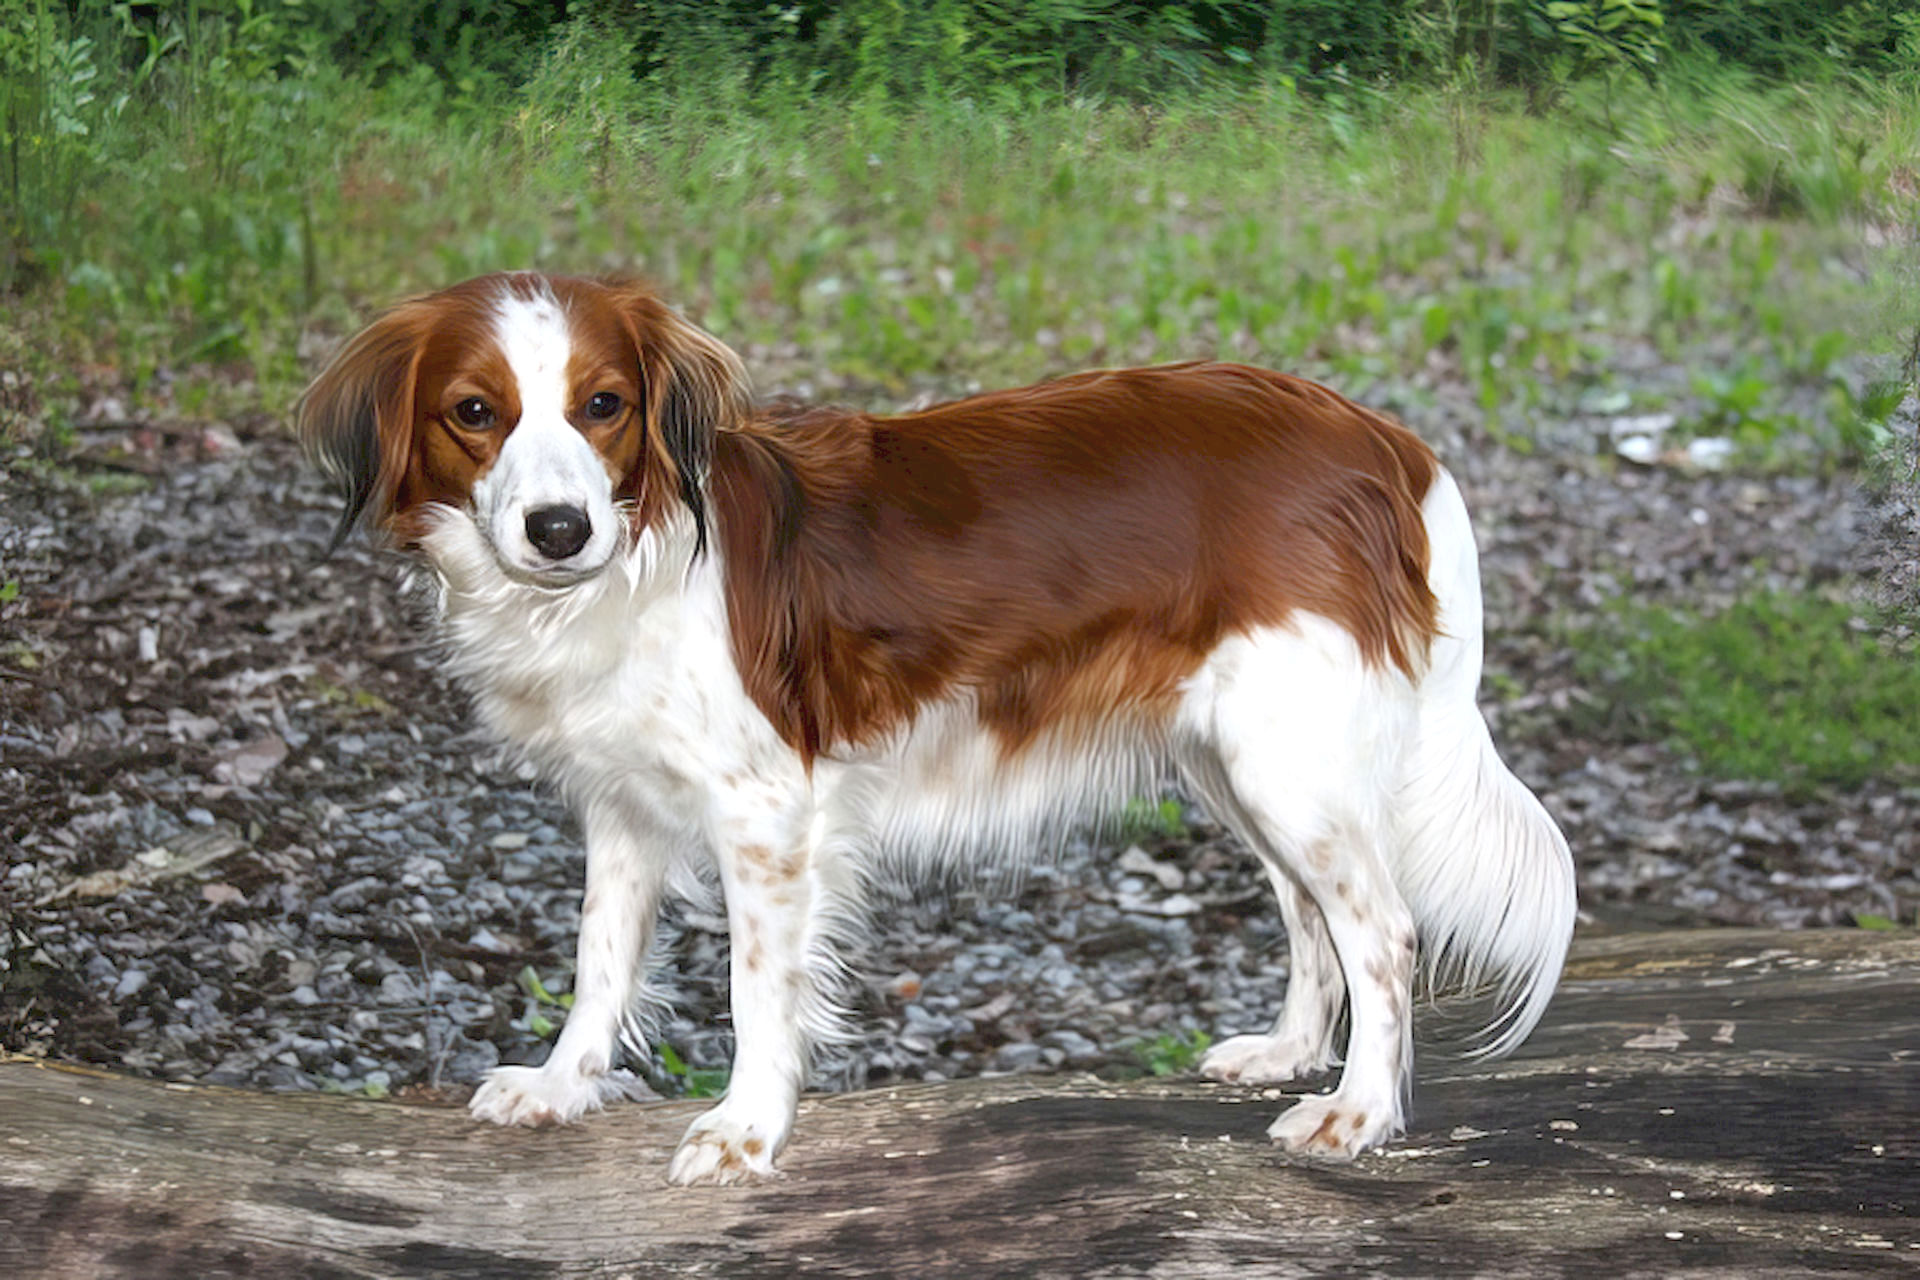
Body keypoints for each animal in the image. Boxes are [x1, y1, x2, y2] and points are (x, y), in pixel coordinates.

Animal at [295, 272, 1574, 1189]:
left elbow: (758, 989)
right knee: (1313, 913)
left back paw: (1357, 1108)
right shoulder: (620, 805)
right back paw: (1289, 1050)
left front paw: (747, 1129)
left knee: (1383, 931)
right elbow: (599, 957)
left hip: (1285, 756)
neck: (637, 554)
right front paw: (564, 1084)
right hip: (1241, 761)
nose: (558, 528)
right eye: (474, 413)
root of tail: (1387, 441)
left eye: (603, 405)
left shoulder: (765, 809)